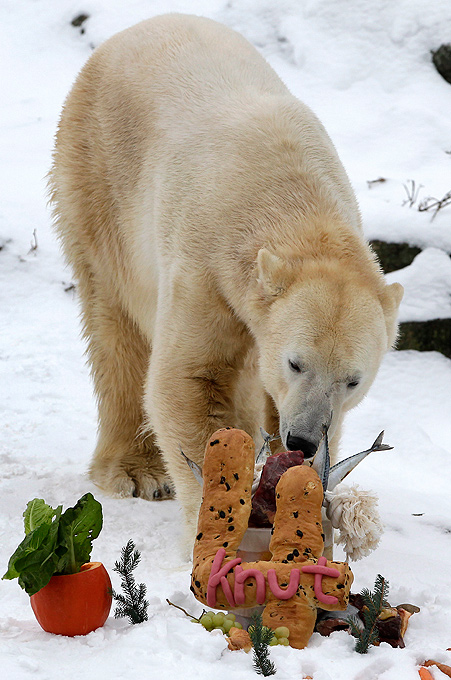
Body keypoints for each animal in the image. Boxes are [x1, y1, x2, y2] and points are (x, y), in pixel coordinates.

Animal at [49, 13, 402, 540]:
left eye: (353, 380)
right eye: (296, 362)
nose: (301, 438)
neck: (288, 196)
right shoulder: (205, 261)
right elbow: (188, 376)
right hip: (100, 181)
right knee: (116, 320)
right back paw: (136, 470)